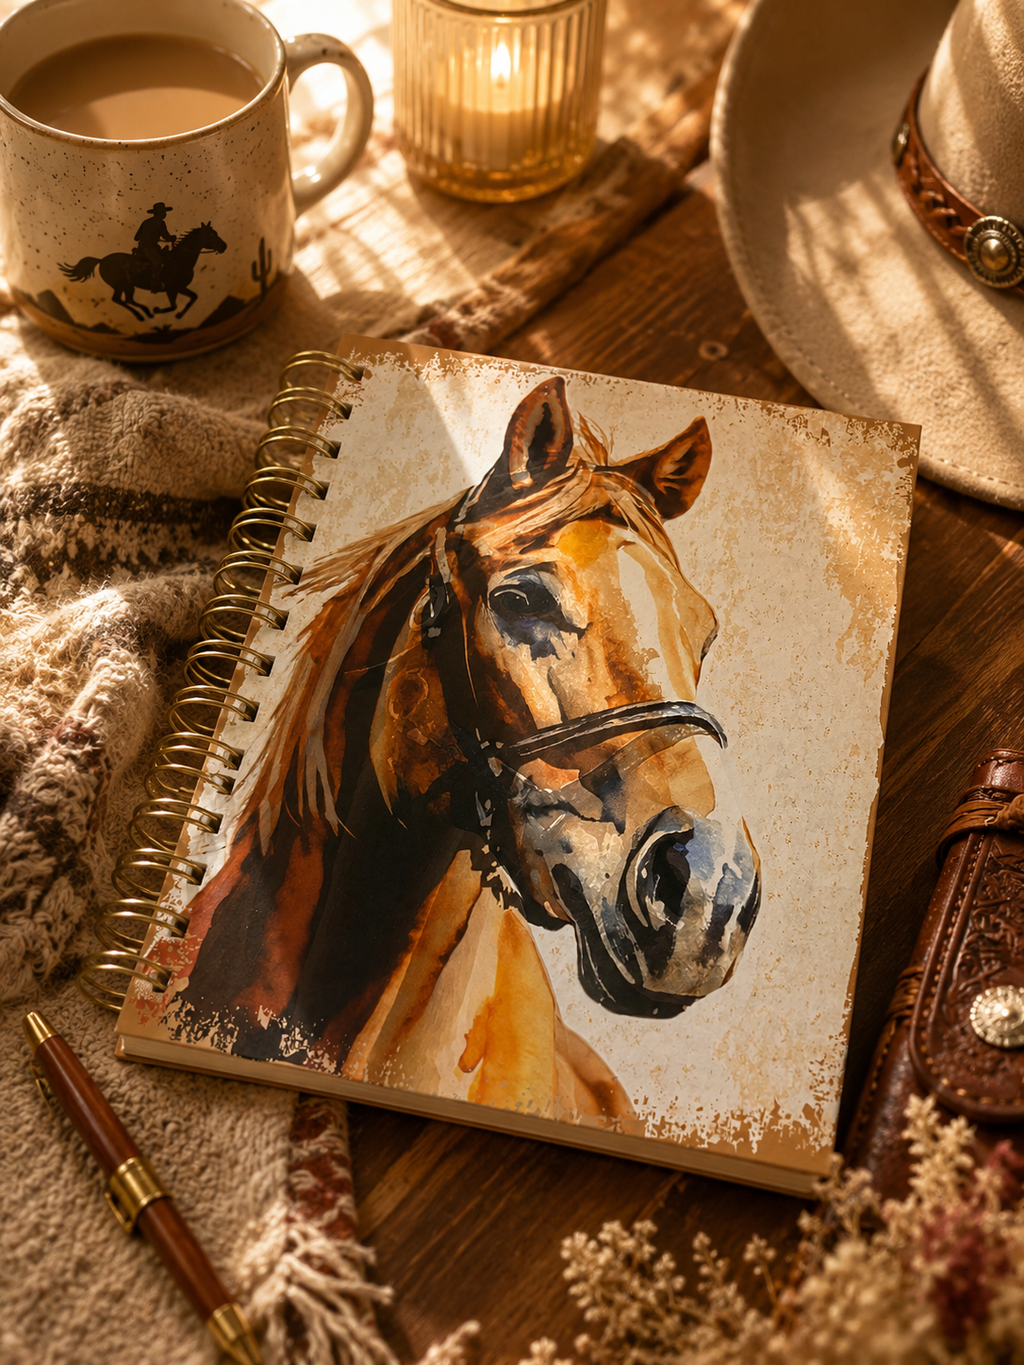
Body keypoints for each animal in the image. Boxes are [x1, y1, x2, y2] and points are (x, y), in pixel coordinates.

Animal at [59, 222, 227, 322]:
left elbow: (194, 297)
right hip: (120, 285)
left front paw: (174, 314)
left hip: (127, 286)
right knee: (118, 300)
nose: (224, 246)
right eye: (211, 234)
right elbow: (174, 306)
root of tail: (101, 260)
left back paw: (146, 312)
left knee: (127, 300)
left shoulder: (180, 288)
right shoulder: (172, 289)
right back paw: (142, 315)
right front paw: (160, 310)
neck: (179, 260)